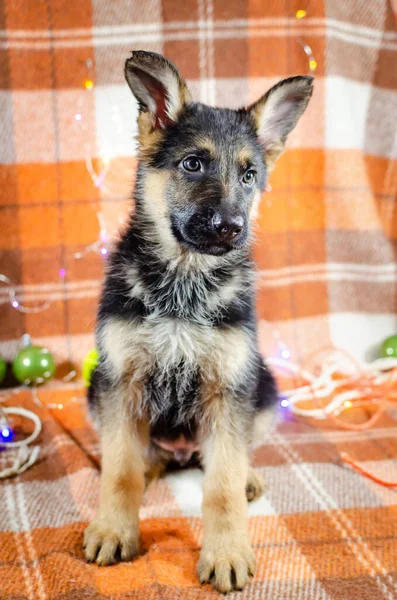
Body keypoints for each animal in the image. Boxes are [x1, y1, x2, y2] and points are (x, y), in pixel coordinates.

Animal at [84, 50, 312, 592]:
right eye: (193, 163)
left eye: (249, 175)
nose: (231, 228)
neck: (183, 287)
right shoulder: (120, 381)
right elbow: (120, 471)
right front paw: (114, 527)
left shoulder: (228, 387)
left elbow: (222, 486)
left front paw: (227, 551)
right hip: (95, 391)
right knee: (143, 455)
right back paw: (149, 466)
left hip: (264, 388)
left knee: (233, 454)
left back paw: (246, 475)